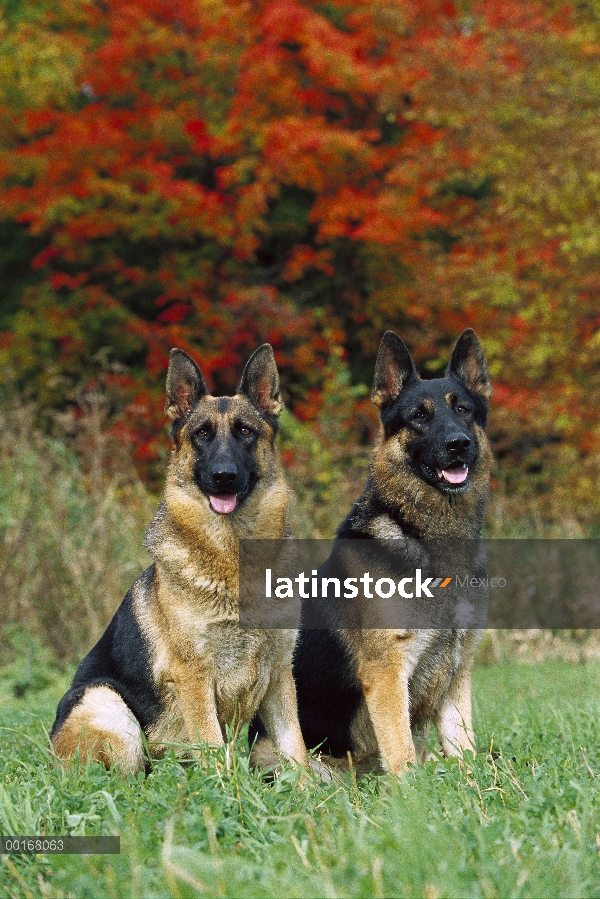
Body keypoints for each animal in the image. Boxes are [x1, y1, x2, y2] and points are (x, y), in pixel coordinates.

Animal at [49, 344, 308, 772]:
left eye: (245, 431)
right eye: (202, 434)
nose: (223, 476)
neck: (232, 558)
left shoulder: (279, 676)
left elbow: (297, 752)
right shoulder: (195, 679)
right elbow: (214, 750)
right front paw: (224, 788)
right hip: (108, 705)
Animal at [253, 326, 492, 776]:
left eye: (464, 409)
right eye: (419, 416)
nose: (459, 444)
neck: (425, 538)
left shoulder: (458, 678)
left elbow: (465, 753)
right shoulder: (387, 675)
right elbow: (402, 756)